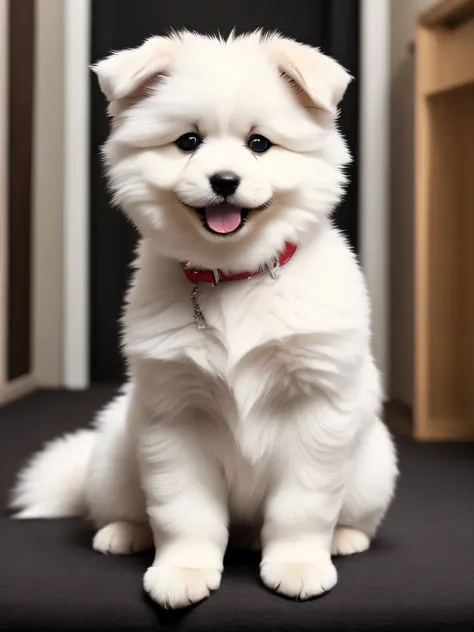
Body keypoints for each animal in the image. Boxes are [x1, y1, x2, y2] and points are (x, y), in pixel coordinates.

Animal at [10, 32, 396, 608]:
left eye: (259, 144)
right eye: (188, 141)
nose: (224, 181)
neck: (234, 279)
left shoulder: (315, 408)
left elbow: (302, 505)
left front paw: (299, 564)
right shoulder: (176, 415)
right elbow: (182, 510)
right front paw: (183, 571)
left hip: (374, 465)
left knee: (353, 514)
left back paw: (345, 538)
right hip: (113, 454)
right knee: (120, 506)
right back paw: (123, 532)